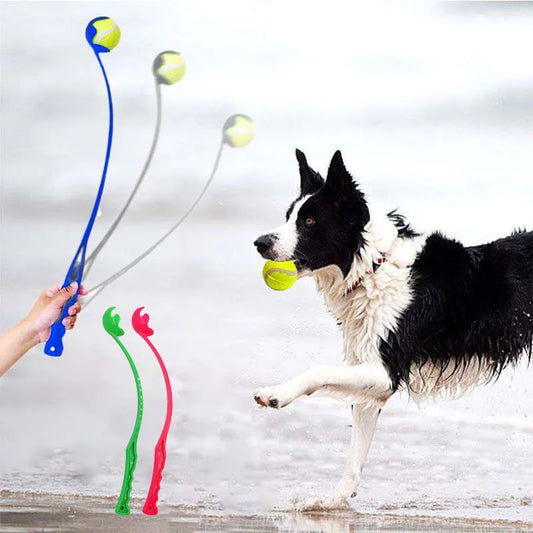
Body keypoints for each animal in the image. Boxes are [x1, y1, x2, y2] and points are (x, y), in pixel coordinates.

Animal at [252, 150, 532, 512]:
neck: (373, 265)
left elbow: (318, 371)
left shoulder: (386, 370)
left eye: (310, 221)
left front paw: (276, 393)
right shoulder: (371, 376)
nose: (259, 243)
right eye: (289, 217)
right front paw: (331, 501)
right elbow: (355, 455)